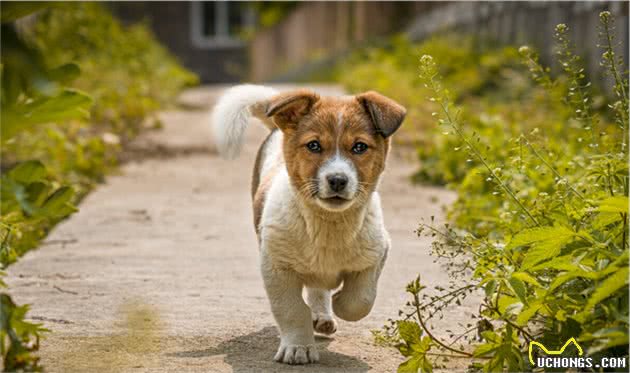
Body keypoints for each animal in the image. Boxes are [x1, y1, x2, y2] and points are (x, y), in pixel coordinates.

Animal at [212, 85, 410, 364]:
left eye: (359, 147)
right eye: (314, 146)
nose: (337, 180)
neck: (328, 224)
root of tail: (276, 129)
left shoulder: (377, 253)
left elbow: (360, 300)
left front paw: (339, 303)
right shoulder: (276, 267)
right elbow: (292, 309)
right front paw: (298, 347)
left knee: (319, 290)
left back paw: (324, 315)